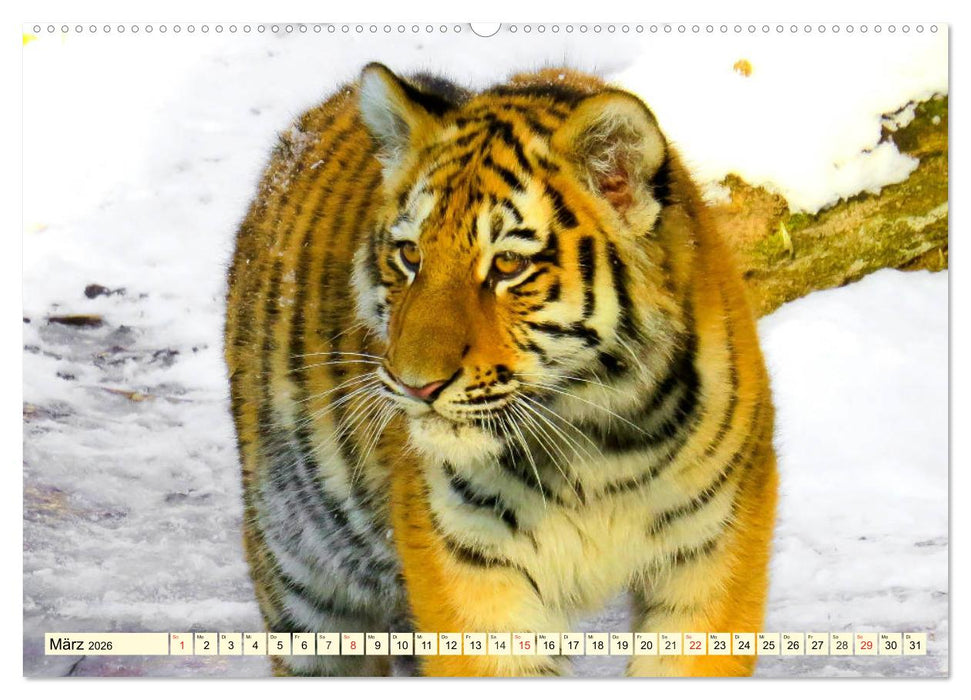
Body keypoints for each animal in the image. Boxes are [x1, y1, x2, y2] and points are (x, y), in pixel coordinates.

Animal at [224, 62, 778, 677]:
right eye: (410, 256)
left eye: (508, 264)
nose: (416, 384)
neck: (596, 443)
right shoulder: (472, 568)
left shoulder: (710, 553)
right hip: (306, 576)